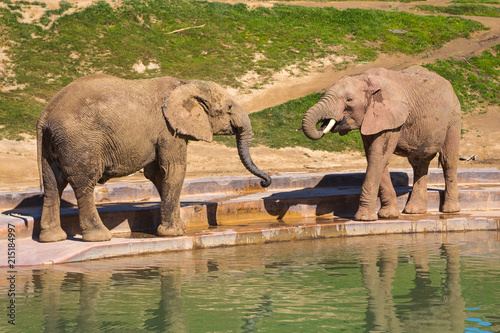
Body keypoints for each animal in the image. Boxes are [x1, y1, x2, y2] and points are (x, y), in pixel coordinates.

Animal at [36, 74, 272, 241]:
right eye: (229, 107)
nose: (265, 182)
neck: (185, 83)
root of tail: (45, 114)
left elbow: (158, 173)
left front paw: (178, 228)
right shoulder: (167, 130)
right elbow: (174, 170)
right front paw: (174, 233)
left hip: (53, 143)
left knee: (52, 184)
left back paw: (52, 239)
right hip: (80, 140)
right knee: (84, 183)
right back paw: (99, 237)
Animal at [300, 65, 460, 220]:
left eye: (349, 99)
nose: (323, 125)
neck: (365, 78)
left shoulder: (391, 118)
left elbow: (378, 156)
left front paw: (364, 218)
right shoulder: (372, 118)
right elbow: (374, 156)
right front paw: (388, 215)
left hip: (453, 118)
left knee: (448, 160)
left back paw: (450, 210)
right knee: (419, 163)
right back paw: (414, 211)